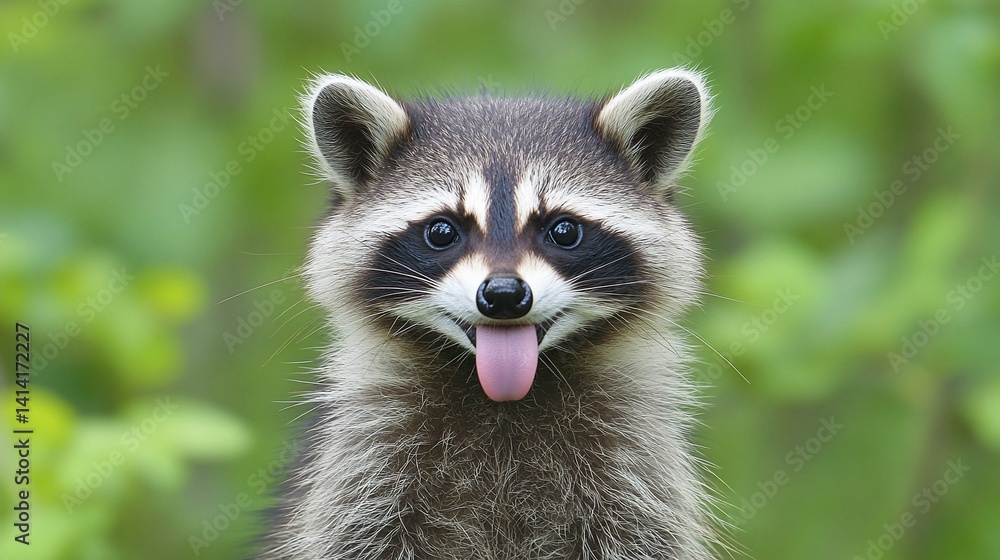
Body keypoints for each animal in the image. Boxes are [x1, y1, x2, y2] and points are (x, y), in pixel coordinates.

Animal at [261, 69, 716, 559]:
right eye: (442, 231)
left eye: (563, 230)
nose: (503, 295)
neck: (503, 398)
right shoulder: (363, 464)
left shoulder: (633, 465)